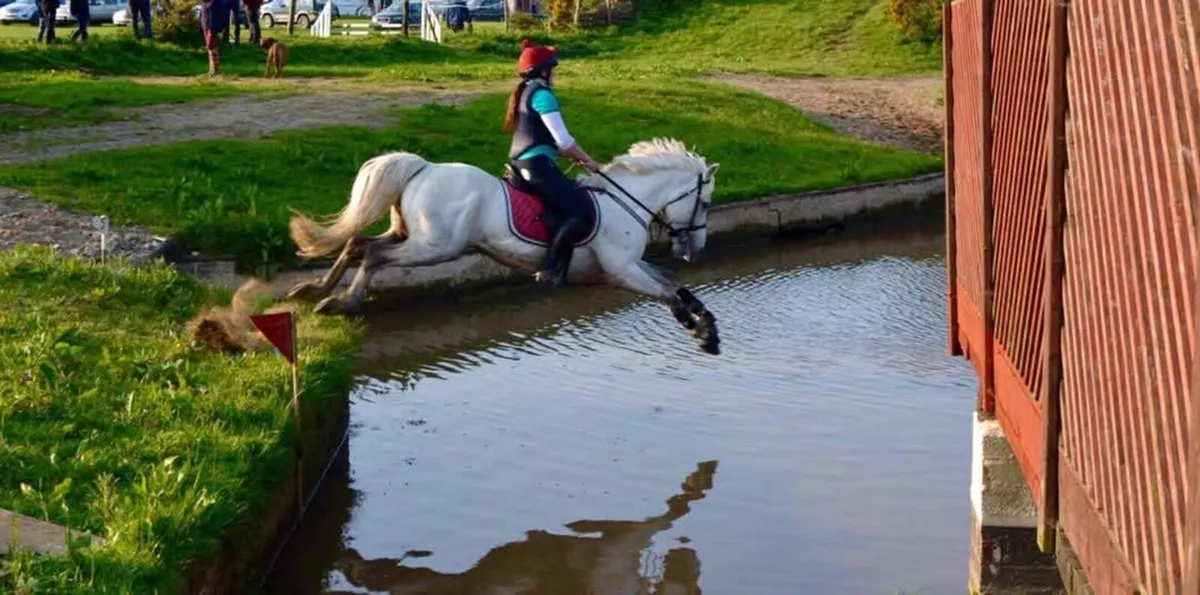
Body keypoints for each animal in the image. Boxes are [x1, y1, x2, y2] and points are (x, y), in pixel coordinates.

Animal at [284, 137, 722, 354]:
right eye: (704, 202)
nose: (696, 247)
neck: (624, 201)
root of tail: (423, 167)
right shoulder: (621, 271)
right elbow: (666, 290)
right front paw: (699, 329)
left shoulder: (629, 267)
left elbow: (671, 282)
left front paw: (706, 324)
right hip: (435, 246)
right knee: (375, 255)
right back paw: (343, 301)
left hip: (408, 234)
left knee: (357, 243)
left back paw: (313, 289)